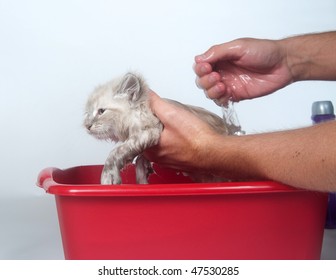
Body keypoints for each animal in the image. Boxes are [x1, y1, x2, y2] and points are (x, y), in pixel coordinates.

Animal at [84, 72, 242, 184]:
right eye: (87, 113)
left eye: (101, 111)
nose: (87, 126)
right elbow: (139, 160)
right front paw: (143, 180)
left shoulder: (149, 131)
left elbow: (116, 152)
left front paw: (109, 177)